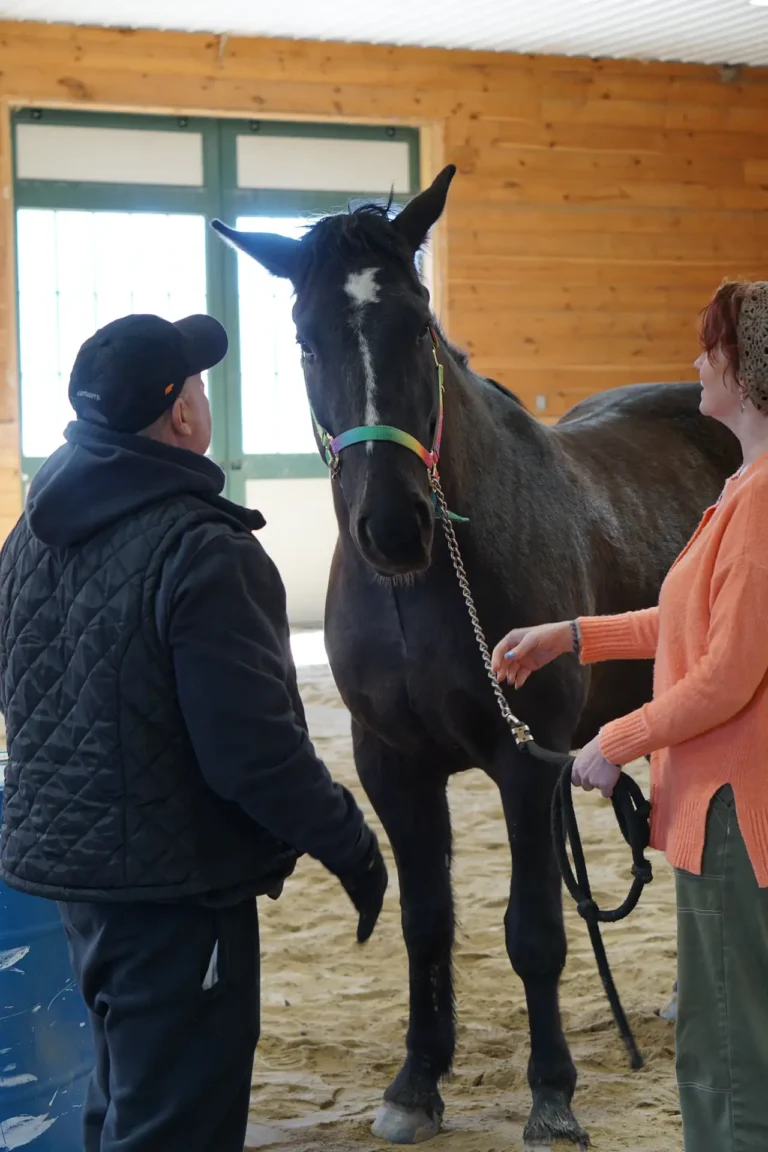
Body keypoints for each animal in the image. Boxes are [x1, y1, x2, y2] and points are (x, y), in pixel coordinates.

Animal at [213, 166, 740, 1148]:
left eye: (419, 324)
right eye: (304, 339)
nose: (394, 525)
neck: (424, 590)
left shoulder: (523, 762)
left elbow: (533, 931)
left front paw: (552, 1093)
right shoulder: (392, 766)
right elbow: (425, 924)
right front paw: (417, 1082)